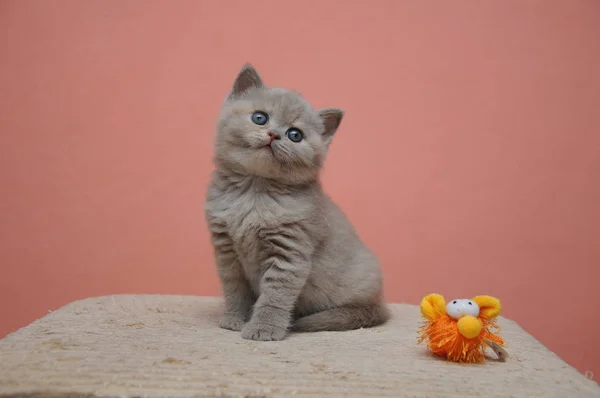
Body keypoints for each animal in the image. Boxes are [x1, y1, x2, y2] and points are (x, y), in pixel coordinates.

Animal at [204, 63, 390, 340]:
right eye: (260, 118)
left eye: (295, 134)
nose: (274, 135)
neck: (254, 192)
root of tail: (381, 305)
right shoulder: (226, 252)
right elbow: (234, 289)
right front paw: (234, 319)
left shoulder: (290, 252)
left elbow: (275, 296)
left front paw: (264, 329)